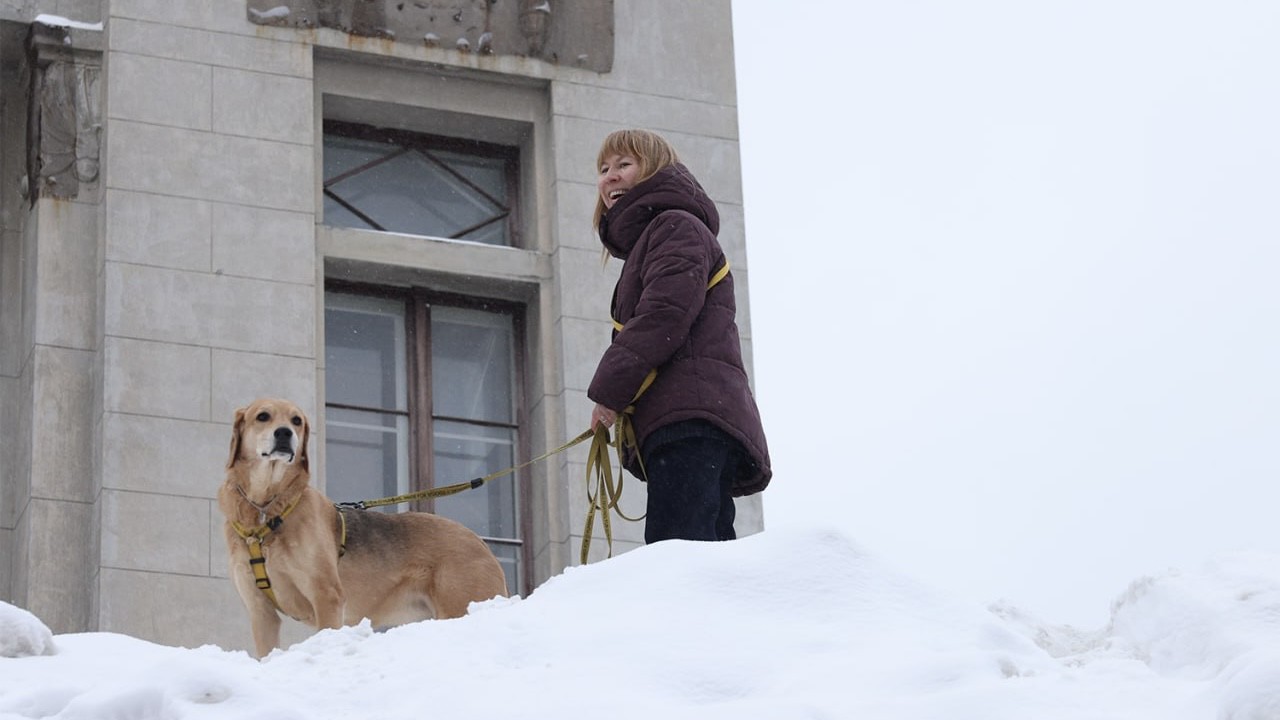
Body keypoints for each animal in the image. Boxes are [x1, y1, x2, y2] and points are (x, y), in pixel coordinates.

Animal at [219, 397, 509, 658]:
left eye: (296, 420)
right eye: (263, 416)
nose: (284, 433)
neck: (268, 509)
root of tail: (480, 543)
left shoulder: (327, 596)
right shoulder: (260, 610)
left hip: (461, 601)